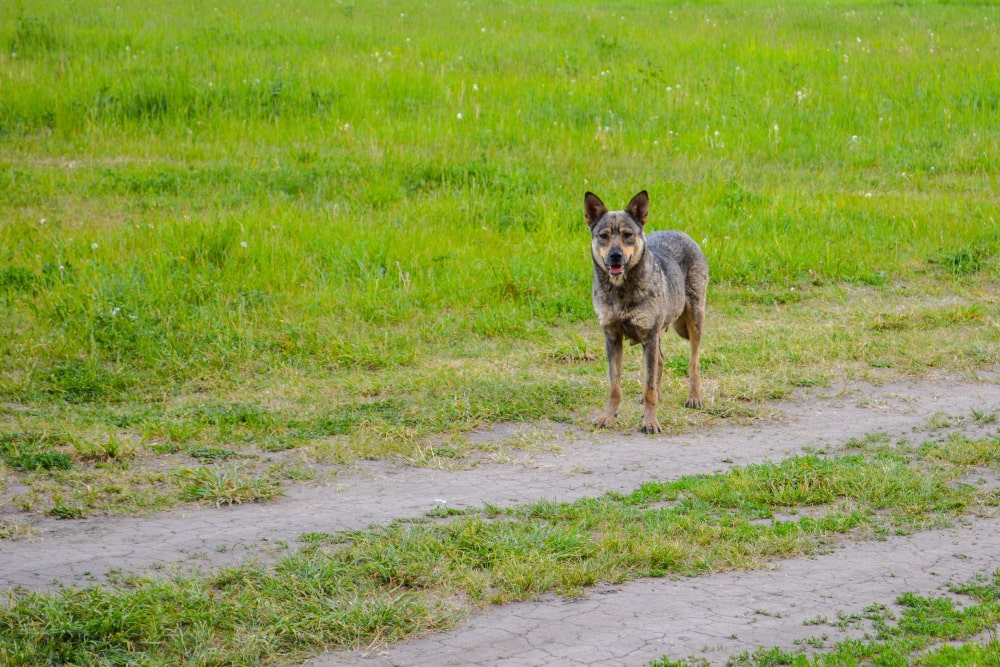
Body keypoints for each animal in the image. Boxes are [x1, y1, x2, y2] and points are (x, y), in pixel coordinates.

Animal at [584, 190, 712, 436]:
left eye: (627, 235)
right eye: (603, 236)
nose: (615, 255)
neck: (621, 289)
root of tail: (680, 232)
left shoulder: (649, 336)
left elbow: (649, 386)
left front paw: (650, 422)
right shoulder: (612, 337)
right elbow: (615, 386)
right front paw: (608, 417)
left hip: (695, 319)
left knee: (694, 362)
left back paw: (694, 397)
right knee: (660, 361)